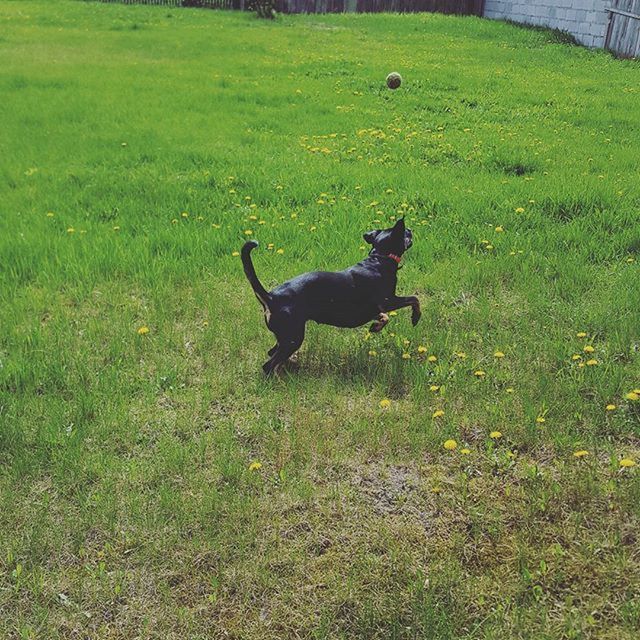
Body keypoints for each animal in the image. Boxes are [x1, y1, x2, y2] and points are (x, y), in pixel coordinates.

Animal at [241, 218, 420, 376]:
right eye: (405, 232)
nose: (411, 229)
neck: (379, 259)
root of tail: (270, 297)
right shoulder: (387, 301)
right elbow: (414, 299)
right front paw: (415, 318)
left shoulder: (372, 310)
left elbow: (384, 317)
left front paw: (376, 326)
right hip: (293, 337)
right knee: (268, 365)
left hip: (285, 337)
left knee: (272, 354)